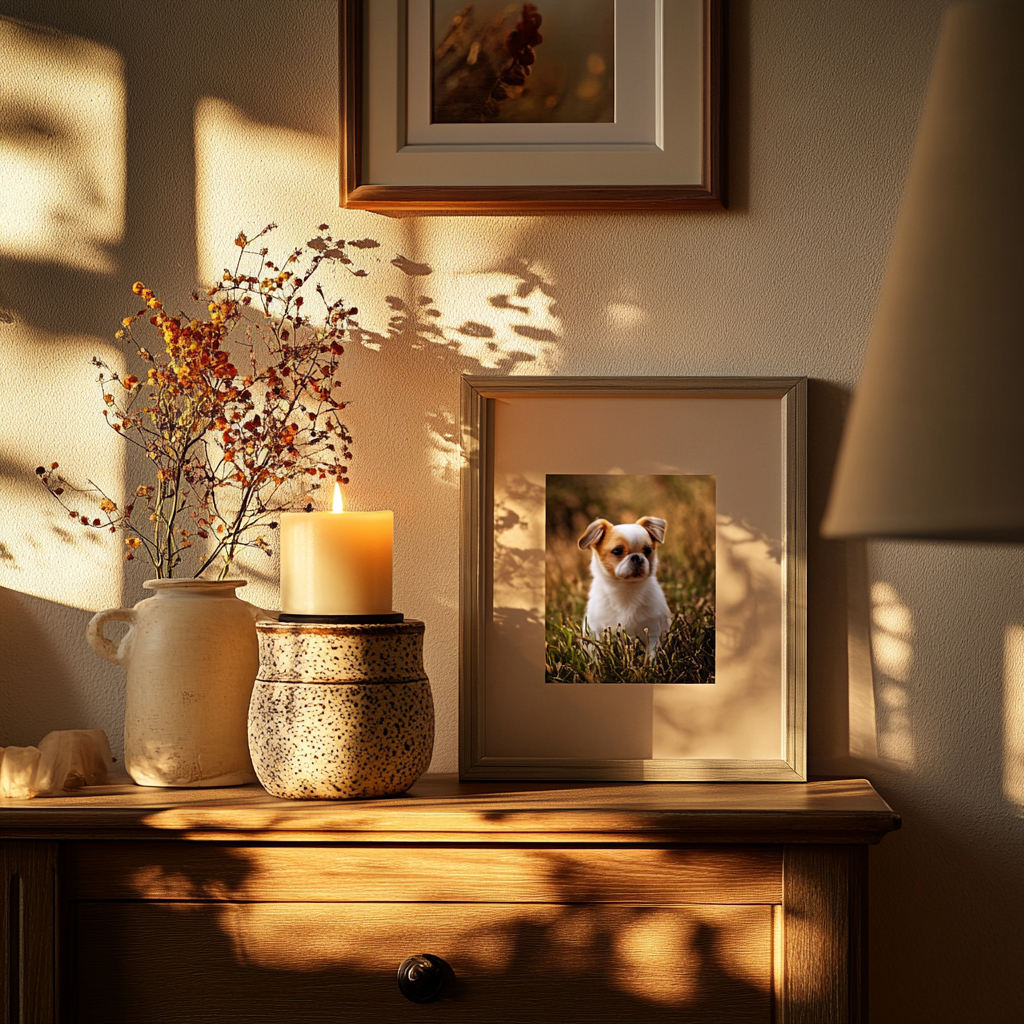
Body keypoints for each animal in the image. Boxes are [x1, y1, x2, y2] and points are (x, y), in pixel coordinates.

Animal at [577, 520, 671, 655]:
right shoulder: (597, 628)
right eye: (617, 551)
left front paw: (650, 661)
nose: (636, 556)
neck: (626, 588)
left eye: (647, 550)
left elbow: (651, 651)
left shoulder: (652, 629)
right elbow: (598, 649)